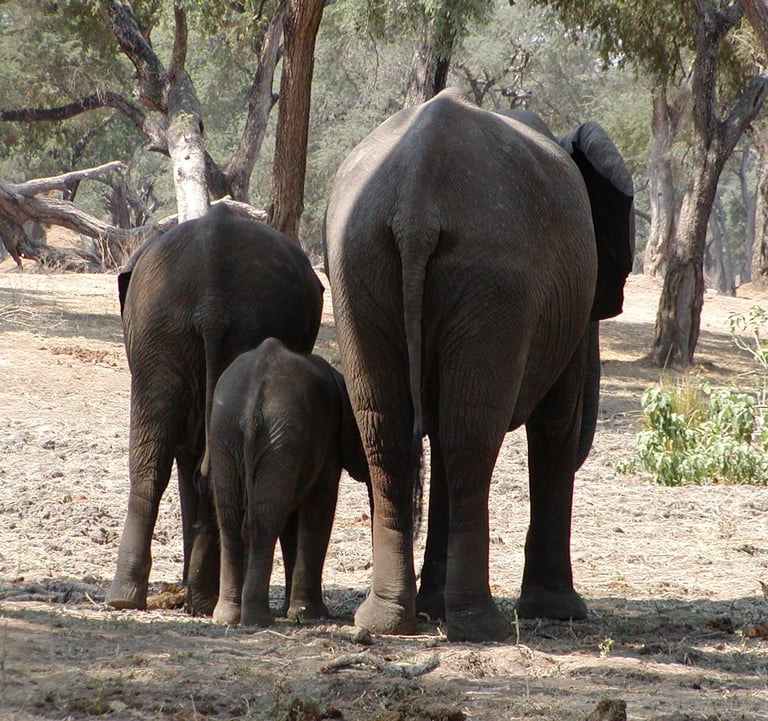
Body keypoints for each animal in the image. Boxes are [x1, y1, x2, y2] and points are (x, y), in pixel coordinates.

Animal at [107, 204, 324, 614]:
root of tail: (212, 298)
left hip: (164, 331)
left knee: (155, 462)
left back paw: (145, 597)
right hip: (175, 329)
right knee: (171, 463)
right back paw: (177, 598)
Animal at [209, 338, 369, 627]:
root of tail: (251, 411)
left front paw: (293, 611)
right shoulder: (326, 442)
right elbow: (318, 509)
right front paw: (310, 615)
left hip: (227, 433)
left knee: (232, 520)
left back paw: (228, 617)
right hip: (276, 437)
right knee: (264, 523)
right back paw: (258, 620)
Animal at [324, 88, 634, 642]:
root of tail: (416, 201)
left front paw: (434, 606)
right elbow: (556, 425)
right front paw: (561, 612)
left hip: (359, 261)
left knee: (394, 431)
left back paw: (388, 621)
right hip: (494, 275)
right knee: (471, 435)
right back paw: (480, 627)